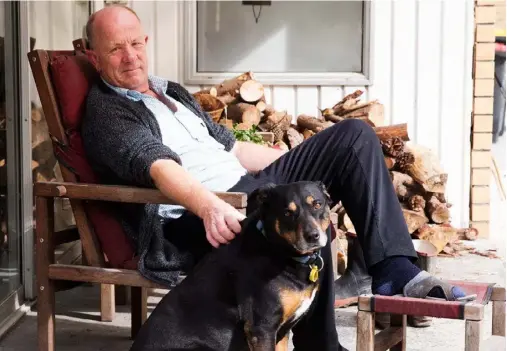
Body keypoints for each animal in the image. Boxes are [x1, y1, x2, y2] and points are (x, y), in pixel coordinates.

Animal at [129, 182, 332, 351]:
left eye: (317, 204)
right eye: (287, 213)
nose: (312, 236)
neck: (278, 249)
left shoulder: (280, 332)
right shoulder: (262, 328)